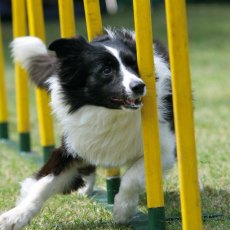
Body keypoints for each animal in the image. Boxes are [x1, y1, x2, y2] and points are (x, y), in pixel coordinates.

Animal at [0, 27, 175, 229]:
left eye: (134, 65)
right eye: (106, 70)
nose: (139, 86)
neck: (108, 113)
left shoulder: (163, 149)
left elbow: (131, 178)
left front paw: (122, 210)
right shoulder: (71, 145)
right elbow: (43, 184)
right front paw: (14, 217)